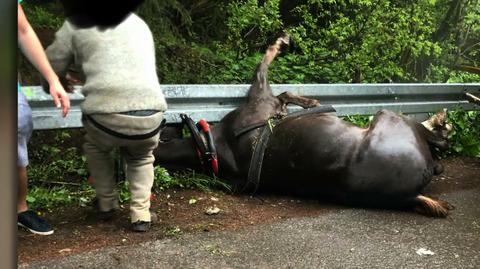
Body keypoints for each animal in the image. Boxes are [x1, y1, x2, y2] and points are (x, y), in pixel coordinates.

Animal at [154, 34, 454, 218]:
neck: (211, 146)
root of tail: (410, 196)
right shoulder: (262, 95)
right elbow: (268, 67)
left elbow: (283, 91)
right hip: (388, 116)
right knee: (429, 133)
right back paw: (440, 124)